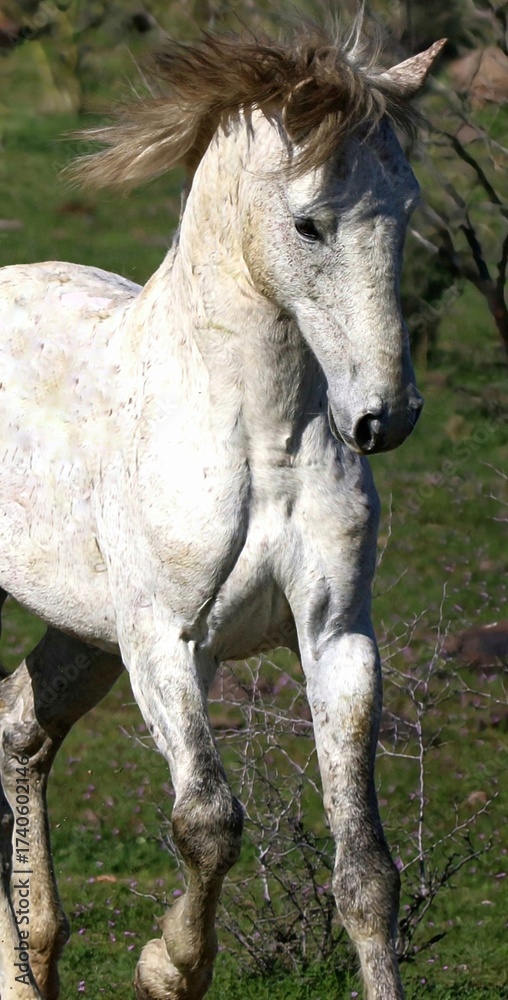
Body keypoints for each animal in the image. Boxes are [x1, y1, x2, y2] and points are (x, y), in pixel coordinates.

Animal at [0, 23, 445, 1000]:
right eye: (308, 222)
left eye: (405, 207)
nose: (385, 417)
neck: (260, 439)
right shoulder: (166, 642)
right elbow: (208, 819)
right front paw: (168, 963)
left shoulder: (338, 638)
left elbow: (367, 872)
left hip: (84, 629)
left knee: (19, 726)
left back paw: (33, 961)